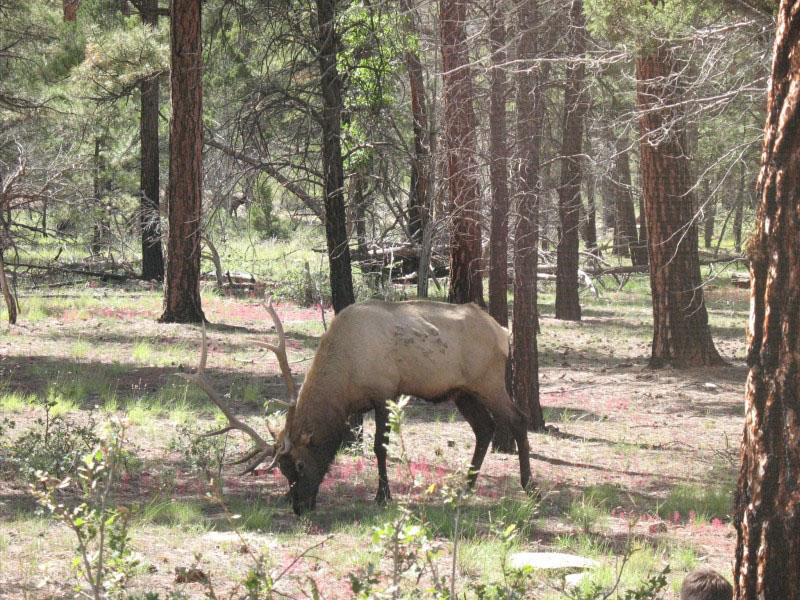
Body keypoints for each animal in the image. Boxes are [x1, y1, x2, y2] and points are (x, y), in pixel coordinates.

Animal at [181, 297, 533, 515]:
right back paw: (467, 486)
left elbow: (380, 446)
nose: (299, 506)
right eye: (282, 470)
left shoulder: (385, 391)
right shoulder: (355, 407)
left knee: (518, 419)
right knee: (485, 428)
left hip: (489, 381)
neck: (345, 377)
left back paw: (528, 485)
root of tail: (503, 332)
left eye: (300, 465)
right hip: (463, 392)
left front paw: (383, 495)